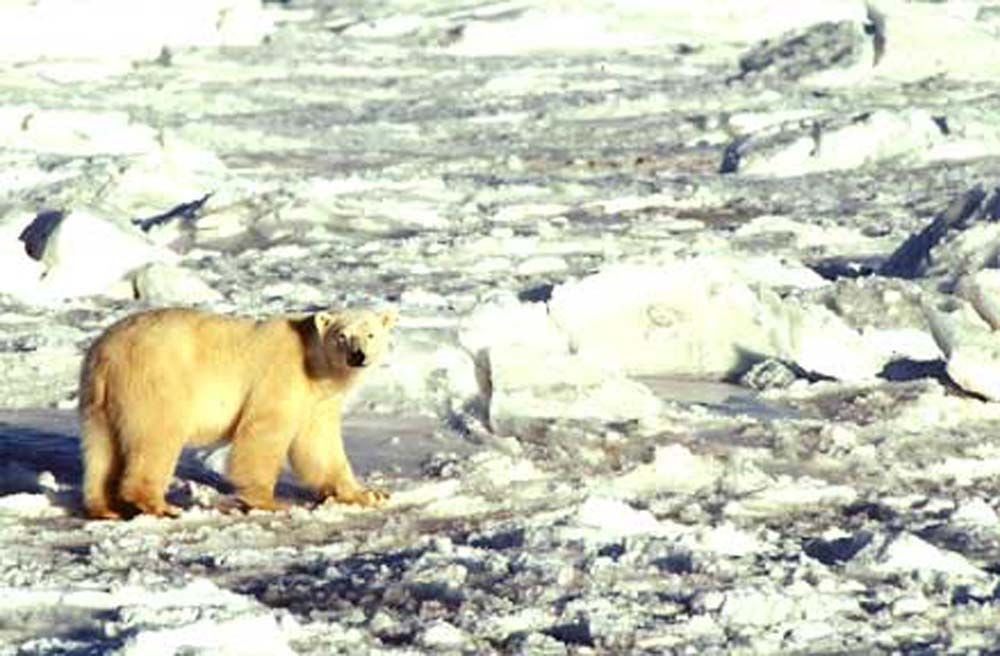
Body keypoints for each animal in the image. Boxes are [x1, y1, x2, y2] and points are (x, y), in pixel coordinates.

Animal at [78, 305, 397, 519]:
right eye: (342, 335)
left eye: (370, 334)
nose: (357, 355)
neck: (313, 362)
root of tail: (106, 354)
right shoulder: (281, 376)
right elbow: (263, 431)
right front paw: (270, 501)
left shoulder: (318, 400)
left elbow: (320, 445)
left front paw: (368, 493)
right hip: (155, 379)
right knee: (157, 434)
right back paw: (159, 505)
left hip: (98, 399)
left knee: (100, 448)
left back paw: (104, 508)